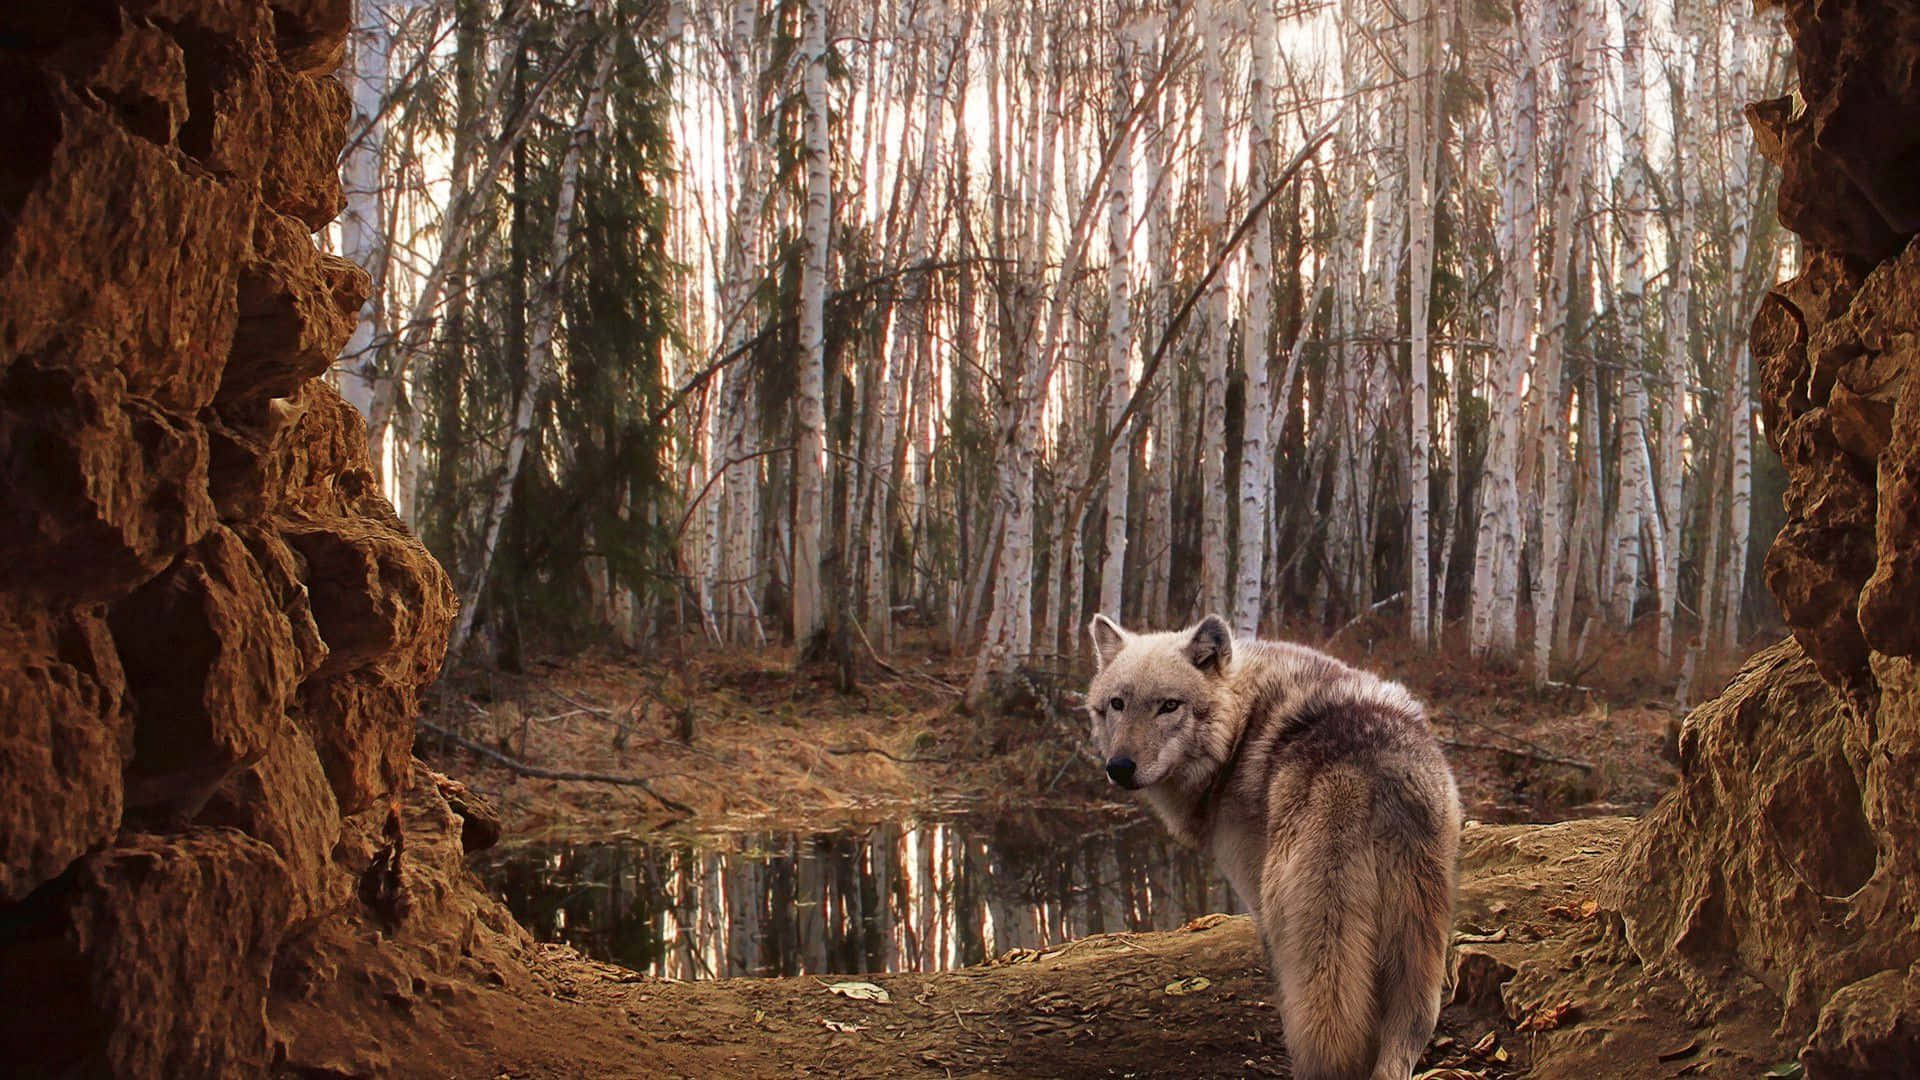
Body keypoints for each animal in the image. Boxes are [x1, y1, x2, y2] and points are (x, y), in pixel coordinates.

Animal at [1085, 613, 1461, 1080]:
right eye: (1117, 704)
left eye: (1169, 705)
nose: (1119, 767)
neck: (1241, 729)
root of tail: (1364, 772)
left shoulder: (1257, 903)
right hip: (1418, 944)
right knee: (1405, 1038)